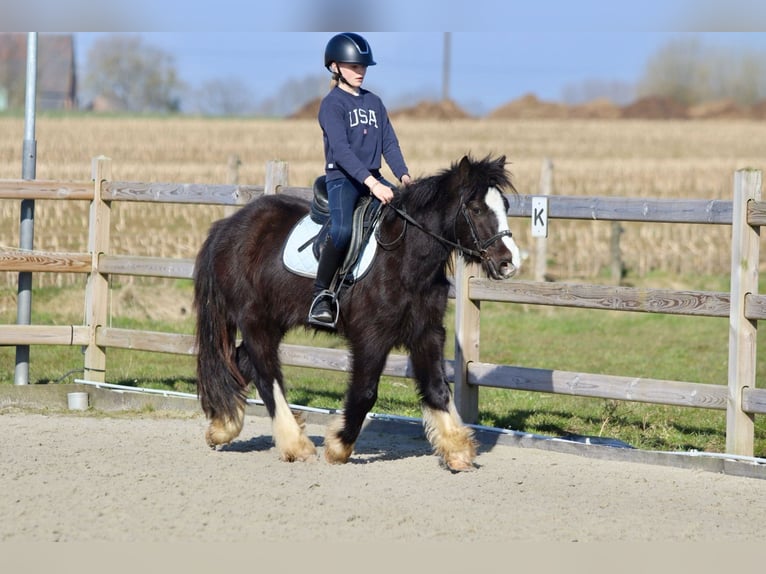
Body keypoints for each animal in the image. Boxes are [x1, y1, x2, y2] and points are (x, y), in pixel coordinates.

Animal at [195, 154, 524, 472]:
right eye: (476, 208)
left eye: (505, 206)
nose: (509, 263)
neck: (405, 257)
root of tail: (228, 227)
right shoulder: (371, 337)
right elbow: (365, 392)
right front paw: (338, 446)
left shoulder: (426, 332)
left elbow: (437, 389)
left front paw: (457, 451)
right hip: (256, 321)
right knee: (266, 376)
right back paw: (295, 445)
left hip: (274, 321)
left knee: (239, 361)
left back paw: (222, 427)